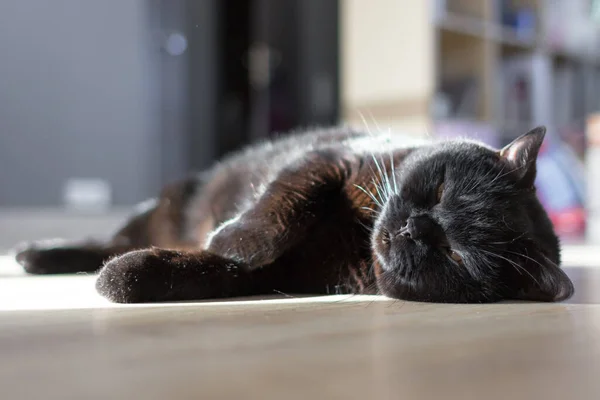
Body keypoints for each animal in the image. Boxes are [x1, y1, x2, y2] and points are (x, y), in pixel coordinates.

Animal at [16, 125, 576, 304]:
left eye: (457, 255)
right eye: (439, 191)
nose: (416, 227)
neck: (356, 236)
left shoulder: (284, 275)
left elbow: (212, 271)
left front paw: (131, 277)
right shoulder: (331, 160)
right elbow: (281, 210)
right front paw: (231, 237)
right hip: (161, 208)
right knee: (109, 238)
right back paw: (35, 255)